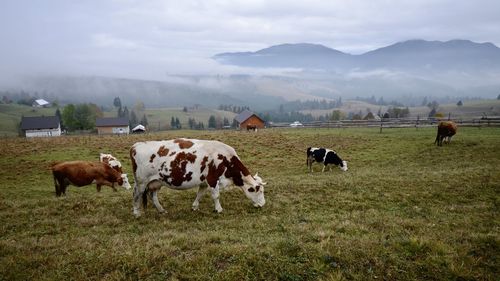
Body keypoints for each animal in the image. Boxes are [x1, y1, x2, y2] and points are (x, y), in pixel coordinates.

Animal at [131, 138, 268, 217]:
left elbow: (200, 194)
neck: (226, 159)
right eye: (259, 191)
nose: (263, 204)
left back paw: (161, 210)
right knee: (136, 194)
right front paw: (219, 209)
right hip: (141, 182)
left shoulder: (204, 181)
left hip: (156, 181)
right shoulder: (213, 179)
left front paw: (195, 207)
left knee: (153, 196)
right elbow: (216, 196)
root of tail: (136, 145)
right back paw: (136, 213)